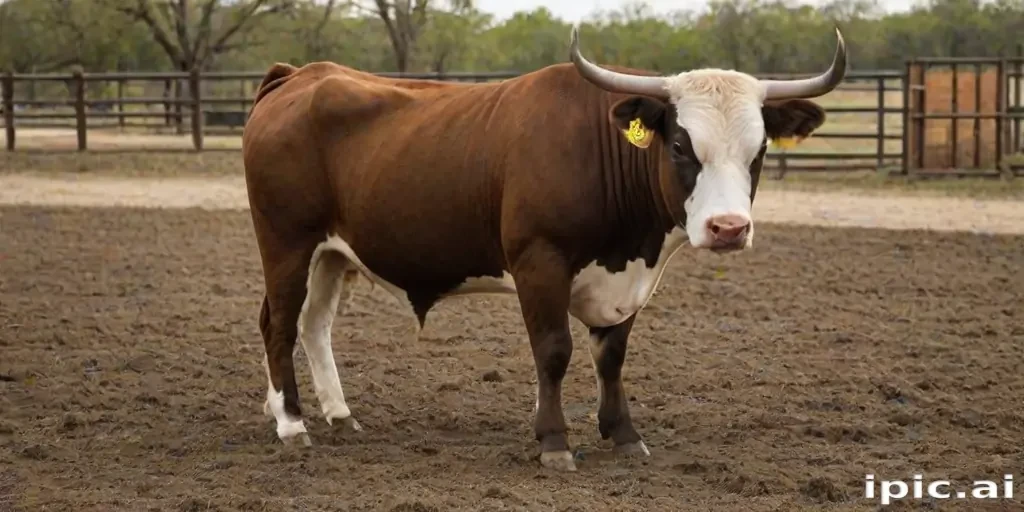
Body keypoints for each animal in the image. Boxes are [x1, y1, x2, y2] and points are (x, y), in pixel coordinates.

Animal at [241, 25, 847, 472]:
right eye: (680, 145)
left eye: (759, 148)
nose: (728, 228)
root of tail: (301, 76)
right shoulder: (539, 263)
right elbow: (554, 351)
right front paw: (554, 442)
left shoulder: (625, 279)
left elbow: (611, 356)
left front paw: (623, 434)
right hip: (287, 244)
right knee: (279, 323)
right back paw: (291, 422)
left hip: (331, 254)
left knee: (313, 325)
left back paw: (337, 415)